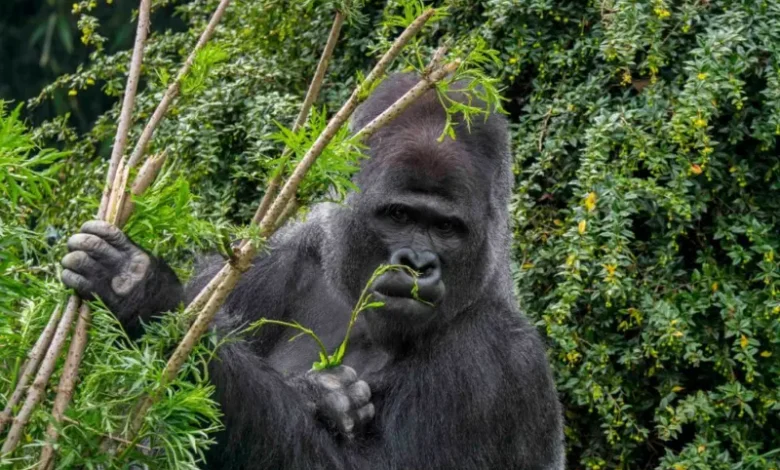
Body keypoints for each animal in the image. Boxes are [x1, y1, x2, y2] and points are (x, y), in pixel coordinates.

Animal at [61, 73, 560, 470]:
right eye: (399, 215)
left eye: (445, 228)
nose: (417, 264)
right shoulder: (259, 265)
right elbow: (124, 428)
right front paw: (323, 394)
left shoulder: (498, 362)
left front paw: (146, 295)